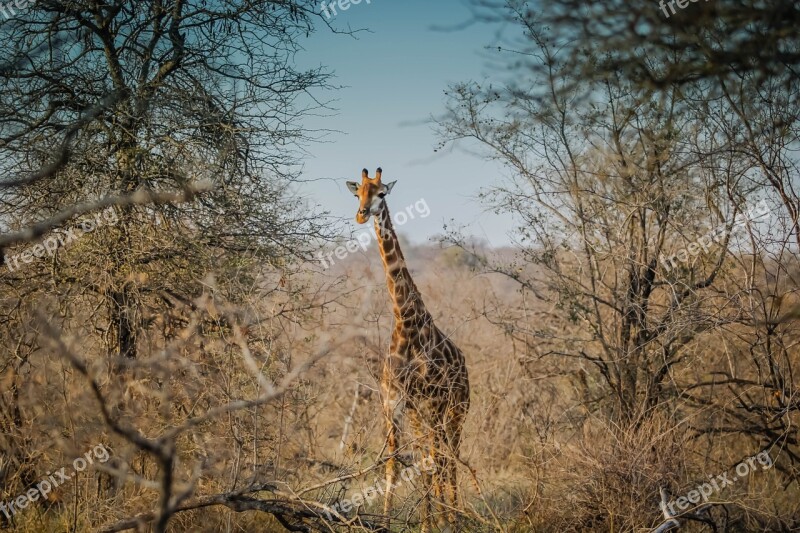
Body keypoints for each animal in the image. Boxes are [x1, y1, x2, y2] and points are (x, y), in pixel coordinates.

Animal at [344, 168, 468, 528]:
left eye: (382, 193)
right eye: (357, 192)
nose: (361, 214)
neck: (405, 322)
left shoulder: (423, 403)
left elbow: (427, 463)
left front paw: (429, 524)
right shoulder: (394, 404)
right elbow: (393, 465)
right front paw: (387, 523)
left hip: (455, 412)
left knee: (449, 458)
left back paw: (454, 517)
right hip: (435, 415)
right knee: (439, 457)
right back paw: (445, 516)